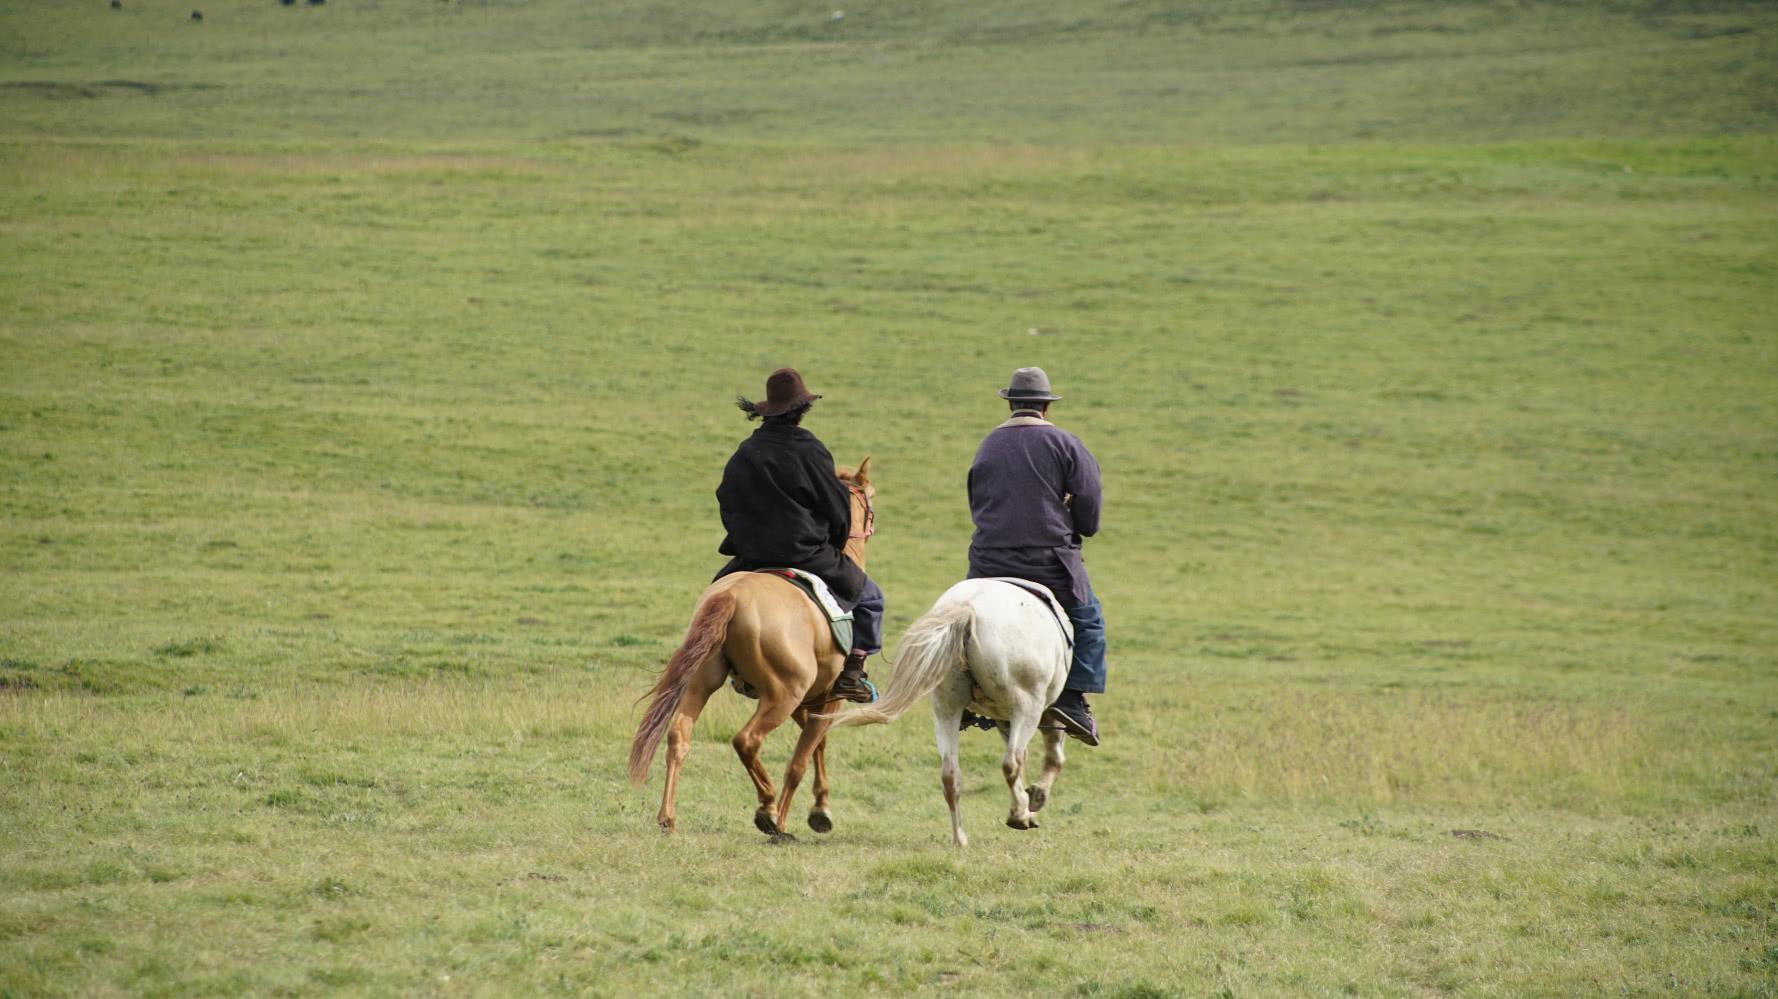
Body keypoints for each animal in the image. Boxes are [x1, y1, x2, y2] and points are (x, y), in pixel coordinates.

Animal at [625, 458, 874, 839]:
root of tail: (731, 595)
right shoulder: (825, 697)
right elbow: (801, 758)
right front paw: (800, 817)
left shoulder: (809, 701)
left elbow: (815, 744)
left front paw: (820, 809)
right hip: (782, 695)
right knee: (747, 741)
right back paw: (770, 813)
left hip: (703, 683)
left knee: (679, 736)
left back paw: (667, 817)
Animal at [828, 575, 1073, 839]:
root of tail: (967, 609)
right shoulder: (1034, 710)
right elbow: (1051, 754)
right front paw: (1035, 799)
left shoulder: (1003, 717)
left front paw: (1031, 801)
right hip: (1027, 706)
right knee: (1011, 761)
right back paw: (1017, 814)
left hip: (948, 708)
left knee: (950, 774)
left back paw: (960, 838)